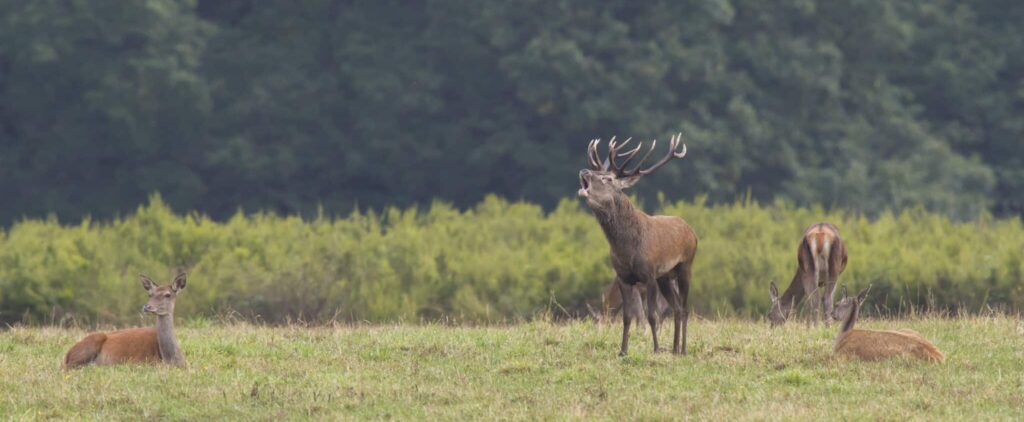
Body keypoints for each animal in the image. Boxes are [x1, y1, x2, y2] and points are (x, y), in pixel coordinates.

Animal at [578, 133, 698, 355]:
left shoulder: (649, 275)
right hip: (665, 277)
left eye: (607, 178)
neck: (627, 249)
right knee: (677, 308)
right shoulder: (624, 277)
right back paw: (674, 349)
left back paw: (684, 350)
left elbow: (650, 316)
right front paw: (623, 351)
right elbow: (627, 317)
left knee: (684, 308)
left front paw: (656, 348)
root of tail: (692, 232)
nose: (584, 171)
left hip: (685, 266)